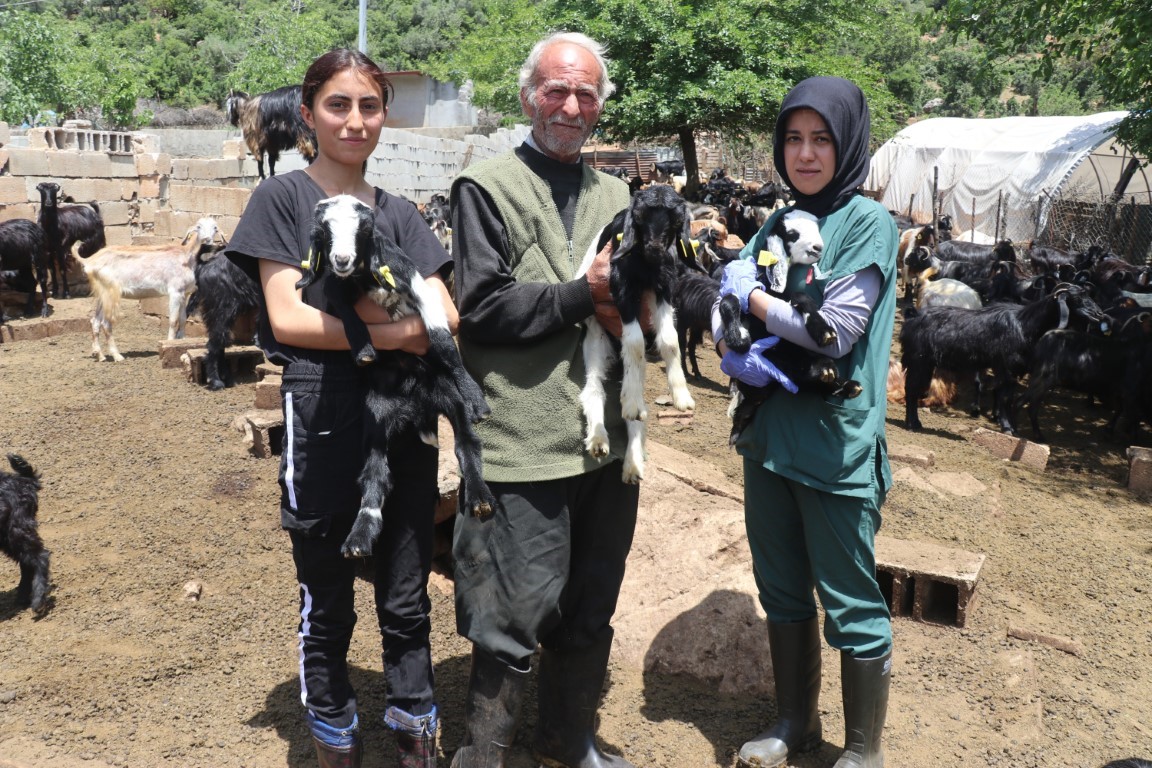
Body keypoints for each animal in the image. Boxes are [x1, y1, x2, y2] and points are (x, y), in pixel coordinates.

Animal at [898, 285, 1105, 435]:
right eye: (1077, 298)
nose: (1099, 314)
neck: (1025, 325)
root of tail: (912, 315)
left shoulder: (1011, 370)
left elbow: (1007, 396)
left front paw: (1010, 426)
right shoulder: (1006, 367)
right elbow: (1005, 397)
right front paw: (1007, 428)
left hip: (925, 364)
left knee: (915, 388)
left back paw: (914, 422)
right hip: (918, 360)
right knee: (911, 388)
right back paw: (913, 424)